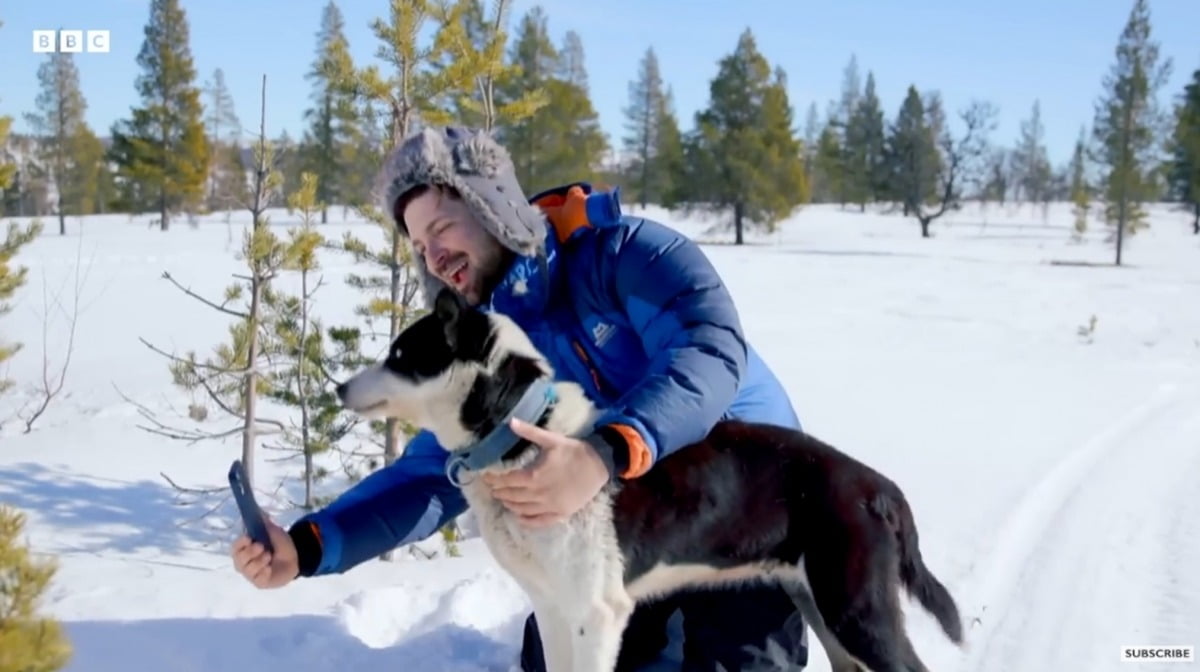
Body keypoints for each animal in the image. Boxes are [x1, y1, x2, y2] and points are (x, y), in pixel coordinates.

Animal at [338, 290, 964, 672]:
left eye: (402, 354)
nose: (340, 388)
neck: (522, 432)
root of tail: (880, 488)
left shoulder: (597, 613)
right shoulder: (554, 608)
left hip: (856, 609)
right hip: (821, 603)